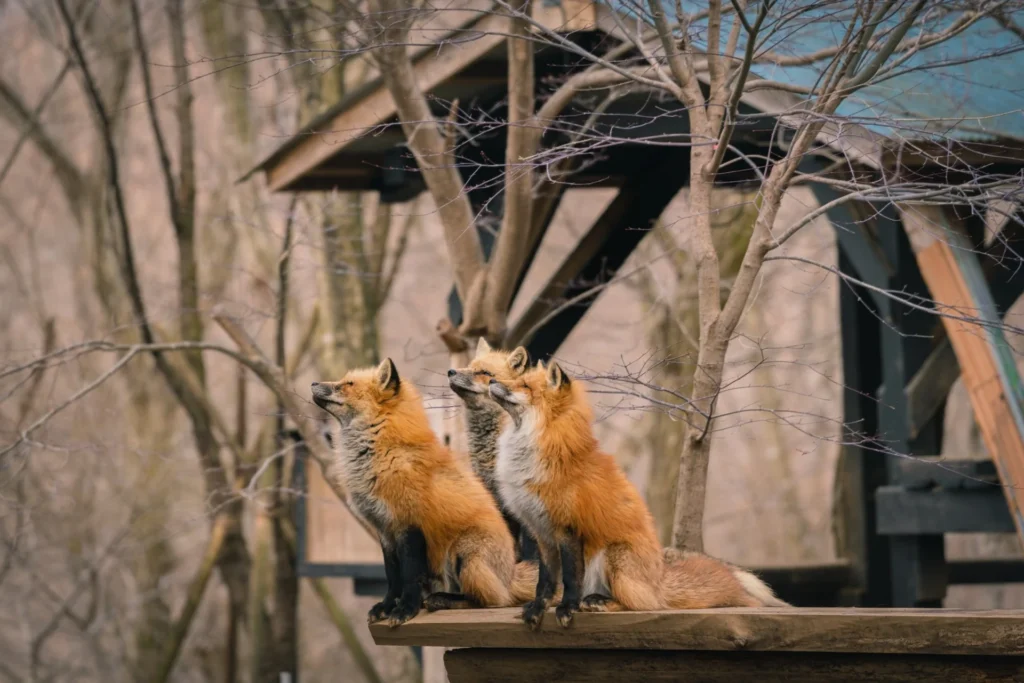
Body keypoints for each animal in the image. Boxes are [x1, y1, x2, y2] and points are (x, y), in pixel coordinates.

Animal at [487, 361, 788, 629]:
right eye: (518, 380)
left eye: (524, 386)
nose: (490, 379)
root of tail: (658, 580)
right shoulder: (542, 532)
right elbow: (545, 581)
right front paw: (538, 608)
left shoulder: (567, 528)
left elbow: (571, 579)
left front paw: (566, 609)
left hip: (614, 555)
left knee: (642, 604)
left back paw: (598, 602)